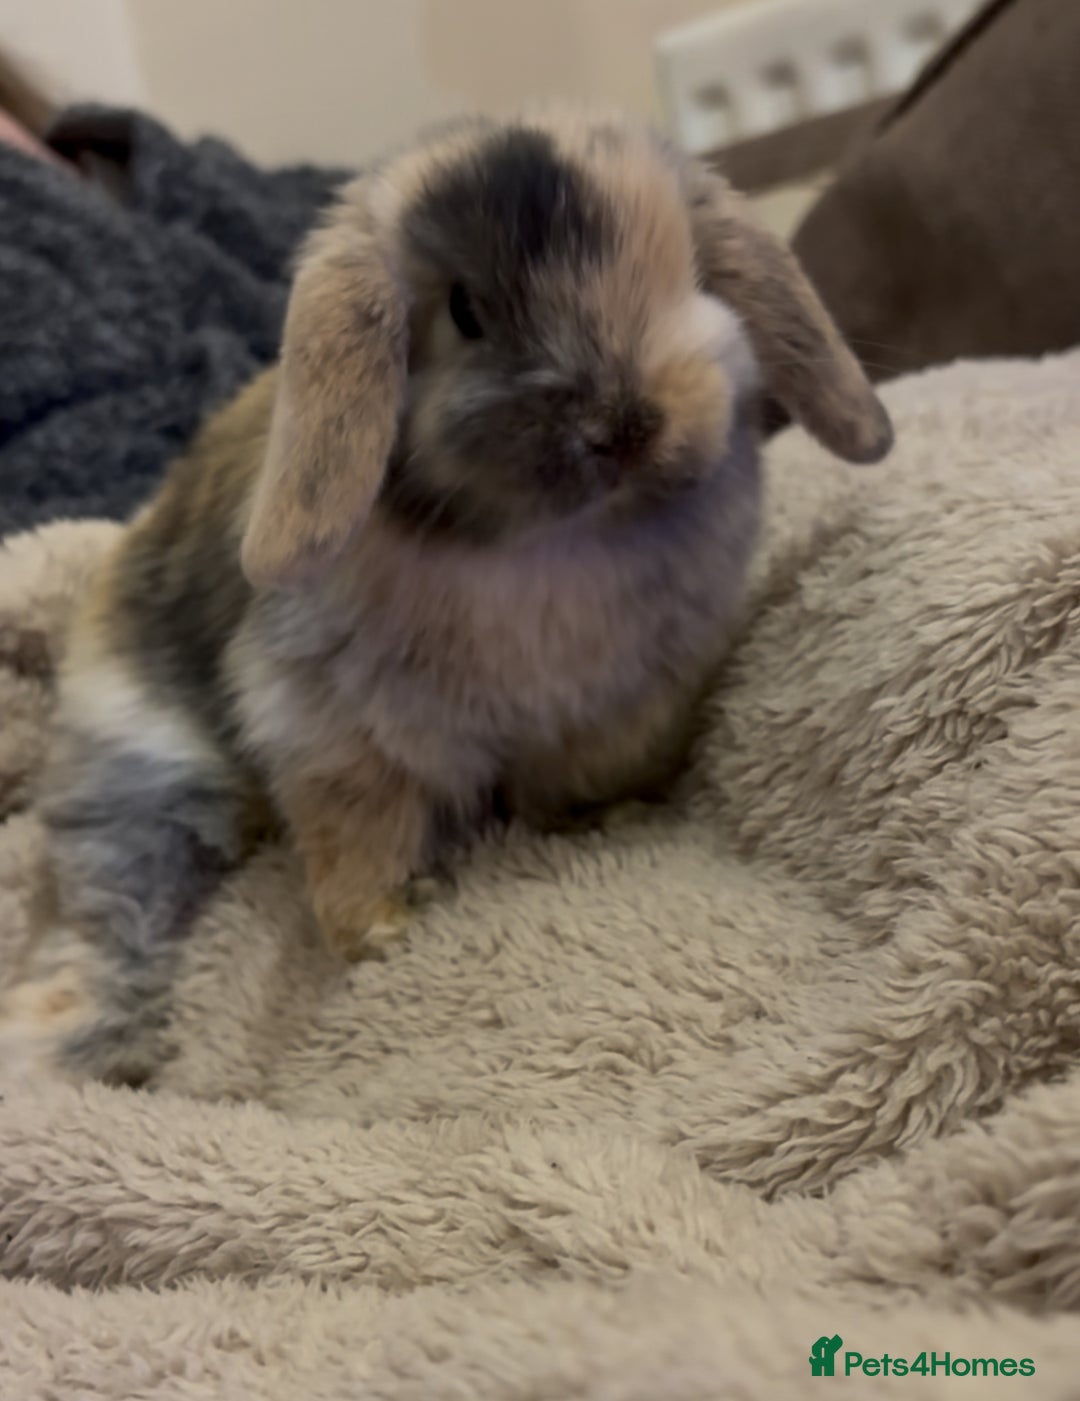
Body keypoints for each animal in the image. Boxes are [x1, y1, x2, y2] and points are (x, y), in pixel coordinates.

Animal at [0, 106, 892, 1086]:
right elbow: (361, 836)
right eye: (465, 311)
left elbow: (576, 780)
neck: (554, 547)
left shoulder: (620, 706)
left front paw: (603, 820)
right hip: (148, 773)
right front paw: (381, 928)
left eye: (689, 274)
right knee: (115, 907)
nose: (621, 427)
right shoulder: (336, 736)